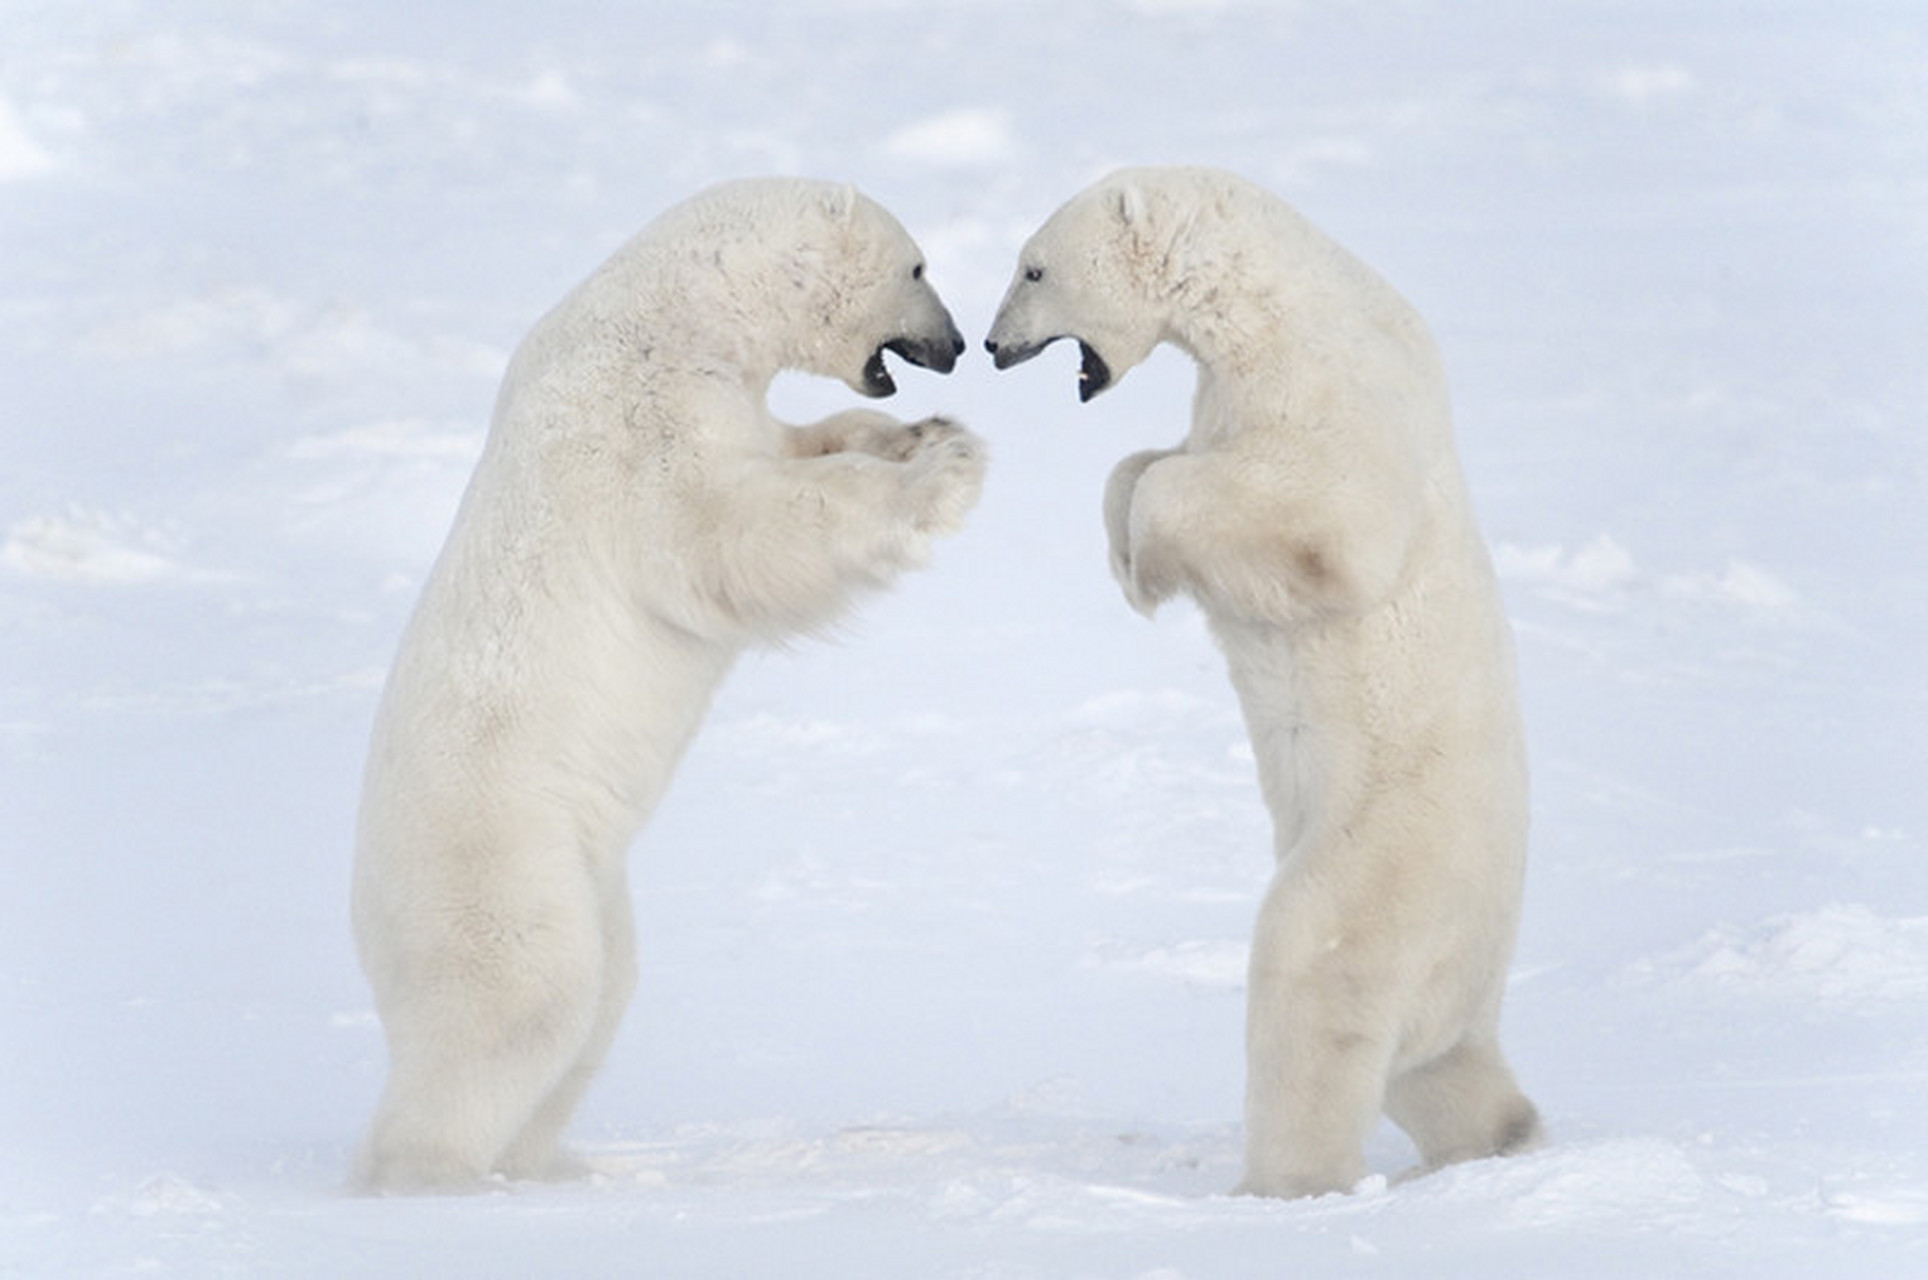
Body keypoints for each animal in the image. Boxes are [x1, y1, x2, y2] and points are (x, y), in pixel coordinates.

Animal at [350, 177, 979, 1187]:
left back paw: (545, 1164)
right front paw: (945, 470)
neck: (674, 315)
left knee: (603, 995)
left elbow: (792, 445)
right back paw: (430, 1172)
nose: (956, 347)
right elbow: (735, 529)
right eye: (918, 268)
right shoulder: (637, 427)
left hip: (587, 870)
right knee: (522, 1003)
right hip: (494, 859)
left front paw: (914, 433)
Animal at [987, 164, 1542, 1195]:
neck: (1274, 299)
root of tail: (1481, 972)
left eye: (1033, 267)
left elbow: (1313, 512)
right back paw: (1496, 1136)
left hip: (1385, 859)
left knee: (1314, 973)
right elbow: (1153, 461)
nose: (996, 346)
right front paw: (1129, 554)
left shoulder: (1331, 390)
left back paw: (1281, 1184)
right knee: (1432, 1068)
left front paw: (1145, 552)